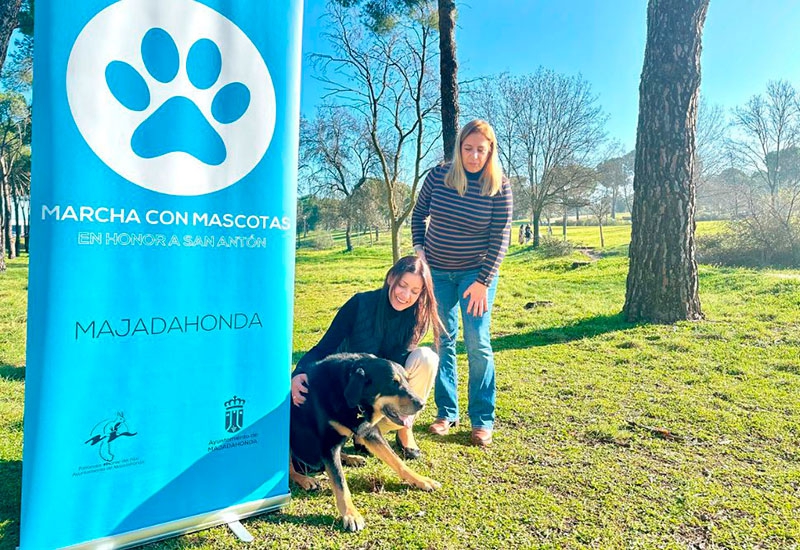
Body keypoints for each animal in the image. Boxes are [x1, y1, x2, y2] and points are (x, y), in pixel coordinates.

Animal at [290, 356, 440, 532]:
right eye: (393, 383)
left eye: (407, 381)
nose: (421, 404)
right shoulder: (328, 445)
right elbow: (340, 483)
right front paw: (351, 514)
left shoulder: (370, 432)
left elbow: (397, 460)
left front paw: (422, 480)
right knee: (290, 469)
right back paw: (305, 479)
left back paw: (351, 458)